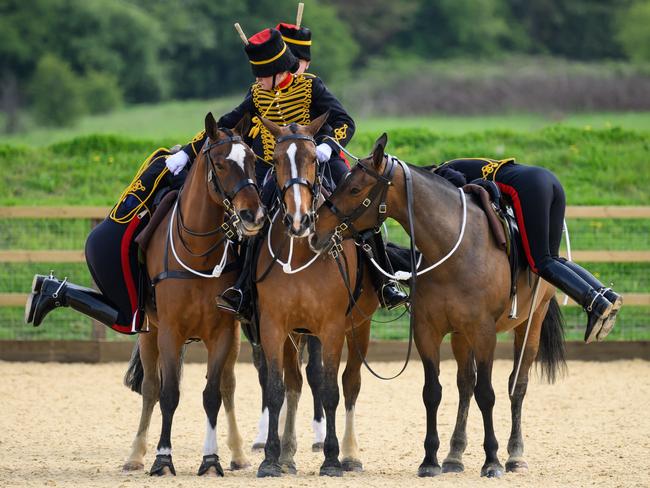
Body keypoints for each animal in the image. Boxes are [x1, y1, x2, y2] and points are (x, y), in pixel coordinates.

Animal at [120, 113, 264, 476]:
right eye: (221, 164)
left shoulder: (222, 333)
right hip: (150, 333)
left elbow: (212, 395)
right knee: (150, 389)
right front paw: (162, 459)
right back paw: (136, 454)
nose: (253, 215)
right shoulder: (170, 331)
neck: (198, 252)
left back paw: (238, 452)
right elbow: (168, 393)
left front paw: (211, 460)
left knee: (227, 387)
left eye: (252, 161)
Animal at [251, 114, 378, 476]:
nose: (299, 219)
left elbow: (330, 389)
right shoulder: (274, 326)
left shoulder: (332, 328)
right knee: (294, 383)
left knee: (350, 383)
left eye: (312, 159)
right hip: (294, 333)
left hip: (359, 326)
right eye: (277, 161)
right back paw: (287, 453)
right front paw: (271, 458)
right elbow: (277, 389)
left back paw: (350, 453)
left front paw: (332, 458)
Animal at [308, 133, 560, 476]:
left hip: (531, 322)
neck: (455, 247)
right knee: (465, 384)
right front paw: (430, 459)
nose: (316, 229)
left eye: (355, 189)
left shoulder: (484, 333)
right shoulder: (428, 331)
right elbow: (433, 393)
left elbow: (487, 394)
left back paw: (514, 455)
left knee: (516, 385)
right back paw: (454, 455)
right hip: (461, 336)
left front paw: (492, 460)